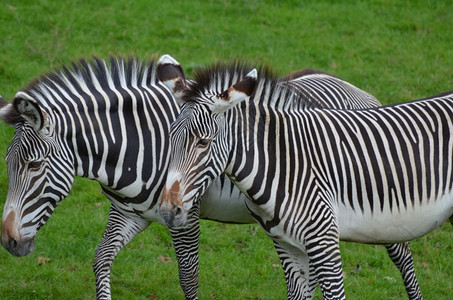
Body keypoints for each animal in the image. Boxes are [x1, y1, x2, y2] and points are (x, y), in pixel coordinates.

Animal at [0, 54, 420, 300]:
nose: (9, 242)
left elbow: (188, 276)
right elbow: (100, 261)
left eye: (34, 166)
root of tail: (357, 90)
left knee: (403, 257)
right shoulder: (130, 213)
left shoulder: (184, 214)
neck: (132, 148)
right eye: (7, 164)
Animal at [156, 59, 452, 298]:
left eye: (203, 143)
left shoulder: (324, 240)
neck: (283, 163)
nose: (168, 211)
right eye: (169, 137)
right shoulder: (287, 244)